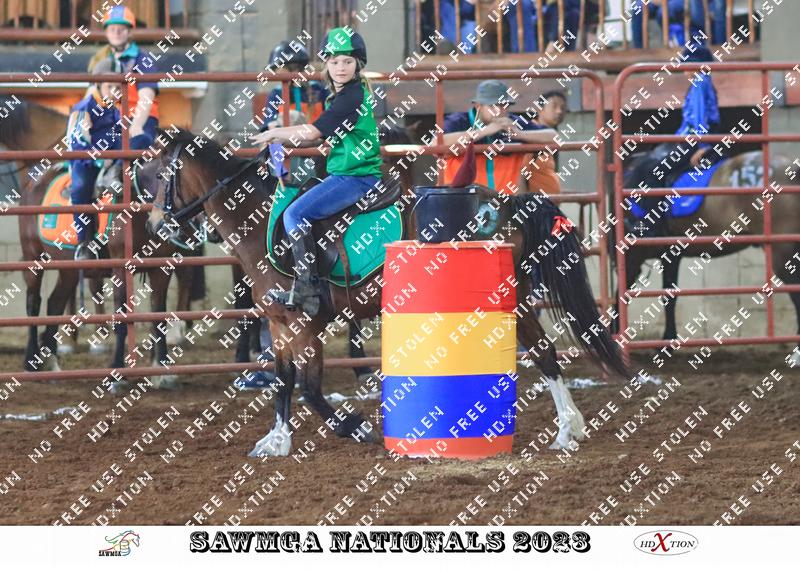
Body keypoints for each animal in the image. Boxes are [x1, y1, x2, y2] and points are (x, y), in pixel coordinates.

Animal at [148, 127, 629, 456]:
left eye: (156, 176)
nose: (155, 225)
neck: (263, 223)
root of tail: (507, 203)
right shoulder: (280, 323)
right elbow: (284, 382)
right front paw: (277, 441)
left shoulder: (305, 324)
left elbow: (310, 388)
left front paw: (355, 427)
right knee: (545, 353)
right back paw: (569, 428)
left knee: (545, 353)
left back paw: (566, 428)